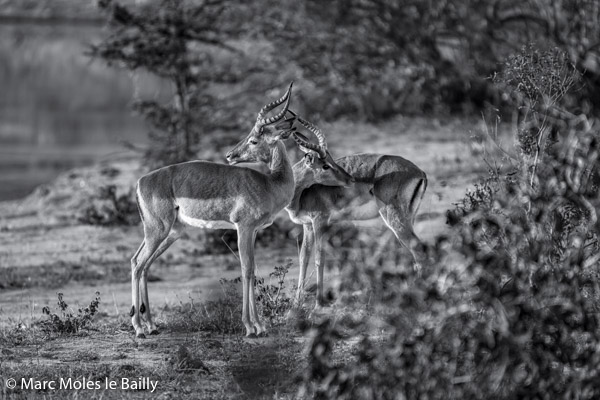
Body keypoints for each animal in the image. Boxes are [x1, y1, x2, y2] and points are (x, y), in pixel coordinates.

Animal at [130, 83, 296, 338]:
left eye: (254, 140)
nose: (230, 155)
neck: (270, 184)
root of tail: (141, 182)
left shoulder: (254, 231)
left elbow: (253, 269)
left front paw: (259, 325)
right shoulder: (243, 228)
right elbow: (246, 269)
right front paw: (251, 327)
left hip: (170, 232)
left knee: (140, 263)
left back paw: (151, 325)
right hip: (158, 230)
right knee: (139, 264)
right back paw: (139, 328)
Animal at [284, 114, 428, 308]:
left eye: (330, 162)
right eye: (325, 165)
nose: (350, 179)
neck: (301, 193)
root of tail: (420, 172)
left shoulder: (320, 221)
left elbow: (319, 258)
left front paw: (318, 303)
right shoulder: (307, 225)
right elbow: (303, 259)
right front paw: (296, 303)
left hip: (395, 219)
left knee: (418, 250)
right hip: (408, 219)